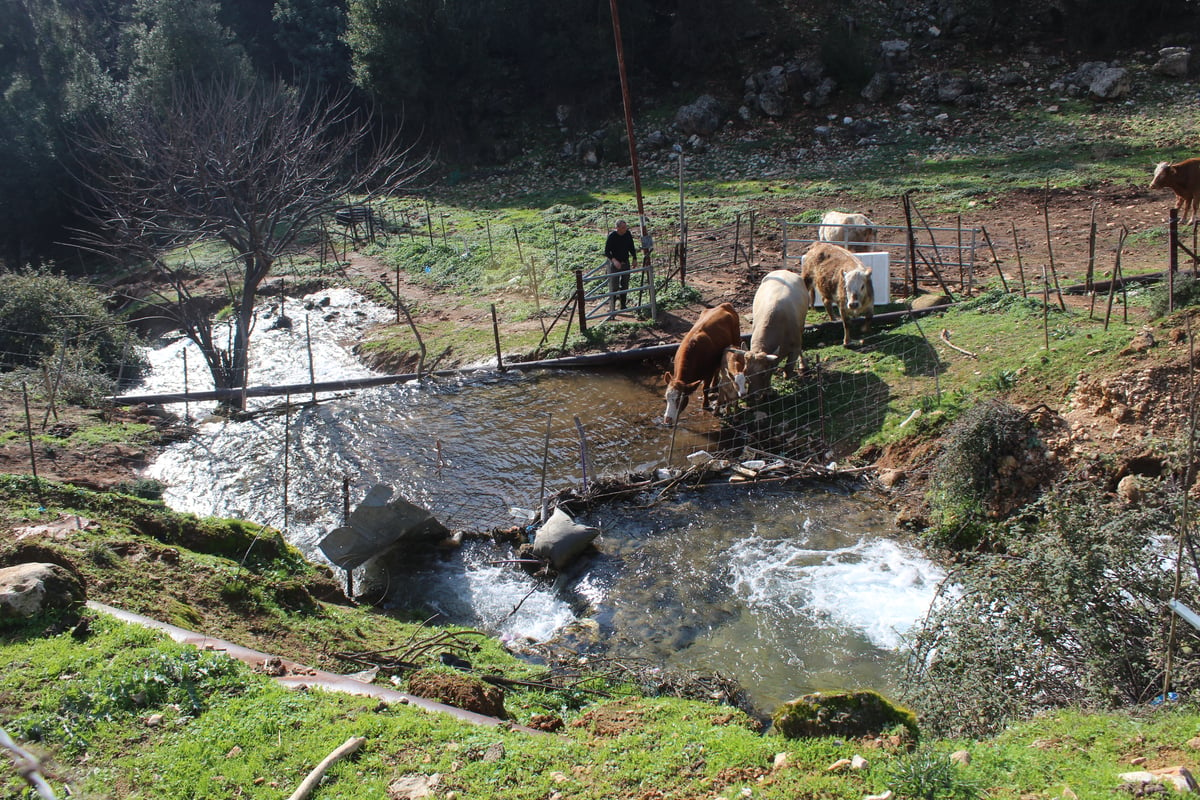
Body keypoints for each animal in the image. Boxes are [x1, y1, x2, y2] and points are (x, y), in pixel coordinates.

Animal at [729, 268, 816, 398]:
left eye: (762, 373)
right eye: (745, 372)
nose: (753, 396)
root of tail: (785, 270)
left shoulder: (794, 348)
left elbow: (787, 370)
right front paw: (768, 390)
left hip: (802, 325)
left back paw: (803, 365)